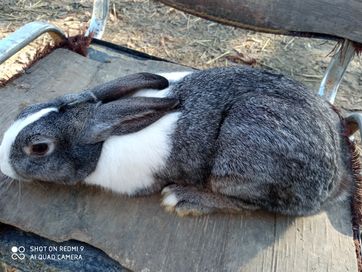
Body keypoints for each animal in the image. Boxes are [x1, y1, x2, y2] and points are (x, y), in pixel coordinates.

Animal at [0, 67, 356, 218]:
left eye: (39, 148)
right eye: (25, 110)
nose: (3, 163)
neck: (105, 138)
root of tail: (336, 182)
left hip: (242, 158)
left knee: (250, 204)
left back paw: (183, 199)